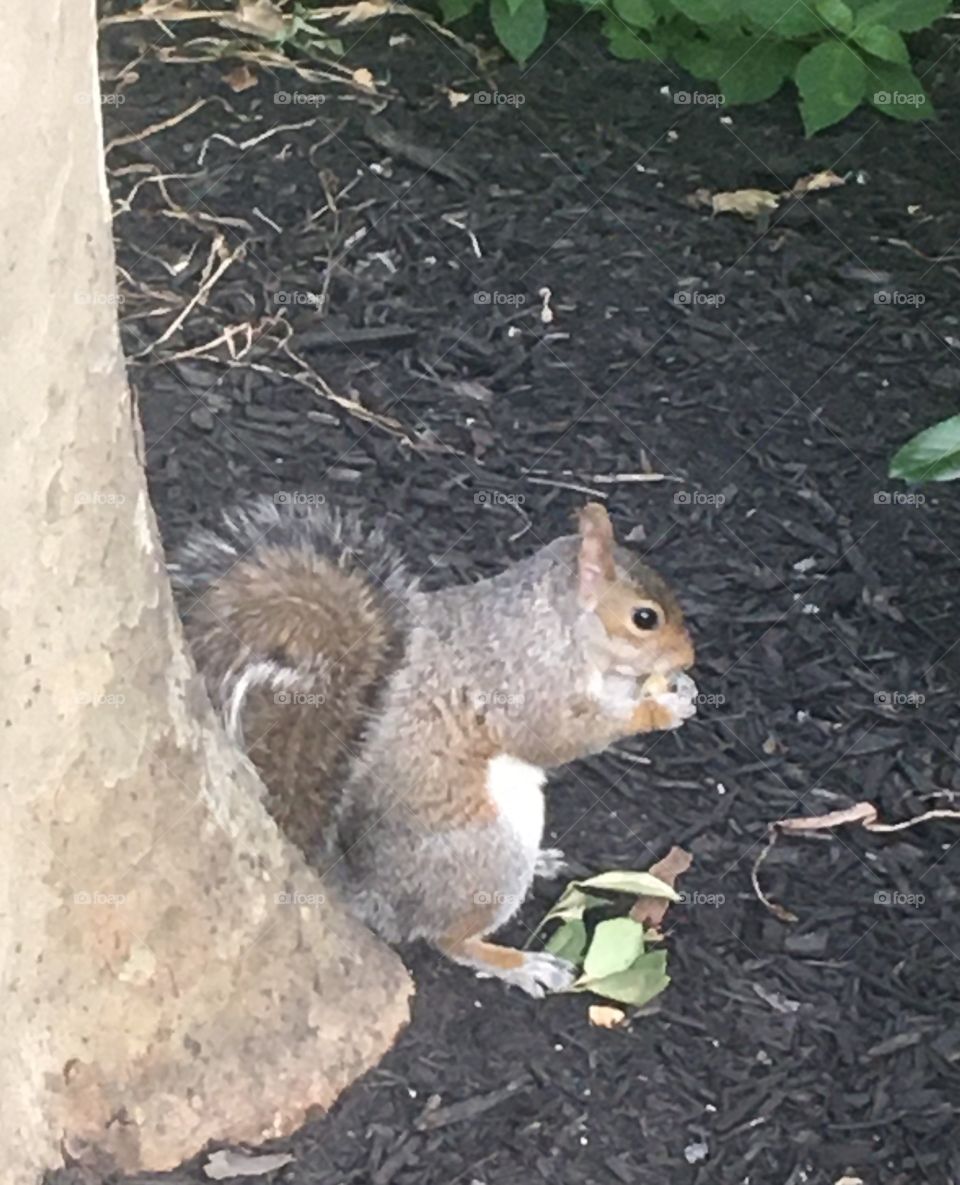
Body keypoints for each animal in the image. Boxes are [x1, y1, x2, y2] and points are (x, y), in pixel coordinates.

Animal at [171, 498, 696, 997]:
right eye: (645, 618)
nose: (689, 657)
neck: (556, 625)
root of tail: (371, 897)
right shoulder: (525, 683)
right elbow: (556, 737)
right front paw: (660, 709)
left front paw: (677, 688)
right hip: (488, 854)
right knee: (450, 940)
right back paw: (519, 964)